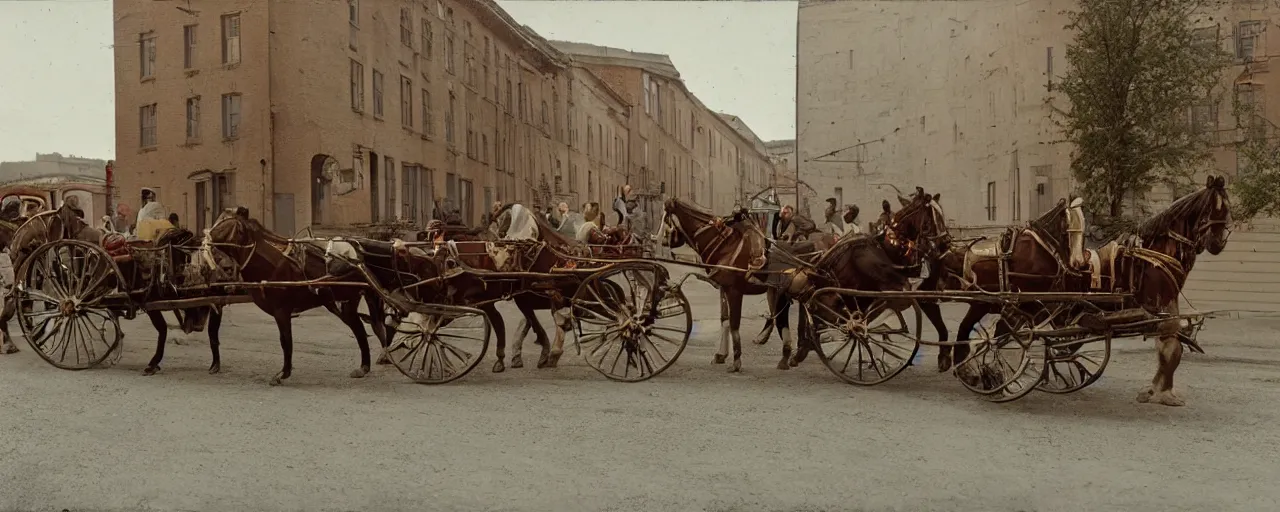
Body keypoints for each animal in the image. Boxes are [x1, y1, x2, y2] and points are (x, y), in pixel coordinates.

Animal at [202, 207, 381, 384]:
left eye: (224, 224)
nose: (204, 241)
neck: (271, 266)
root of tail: (357, 259)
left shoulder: (281, 311)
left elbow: (286, 340)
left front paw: (283, 373)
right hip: (340, 303)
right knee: (358, 328)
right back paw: (364, 367)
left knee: (361, 328)